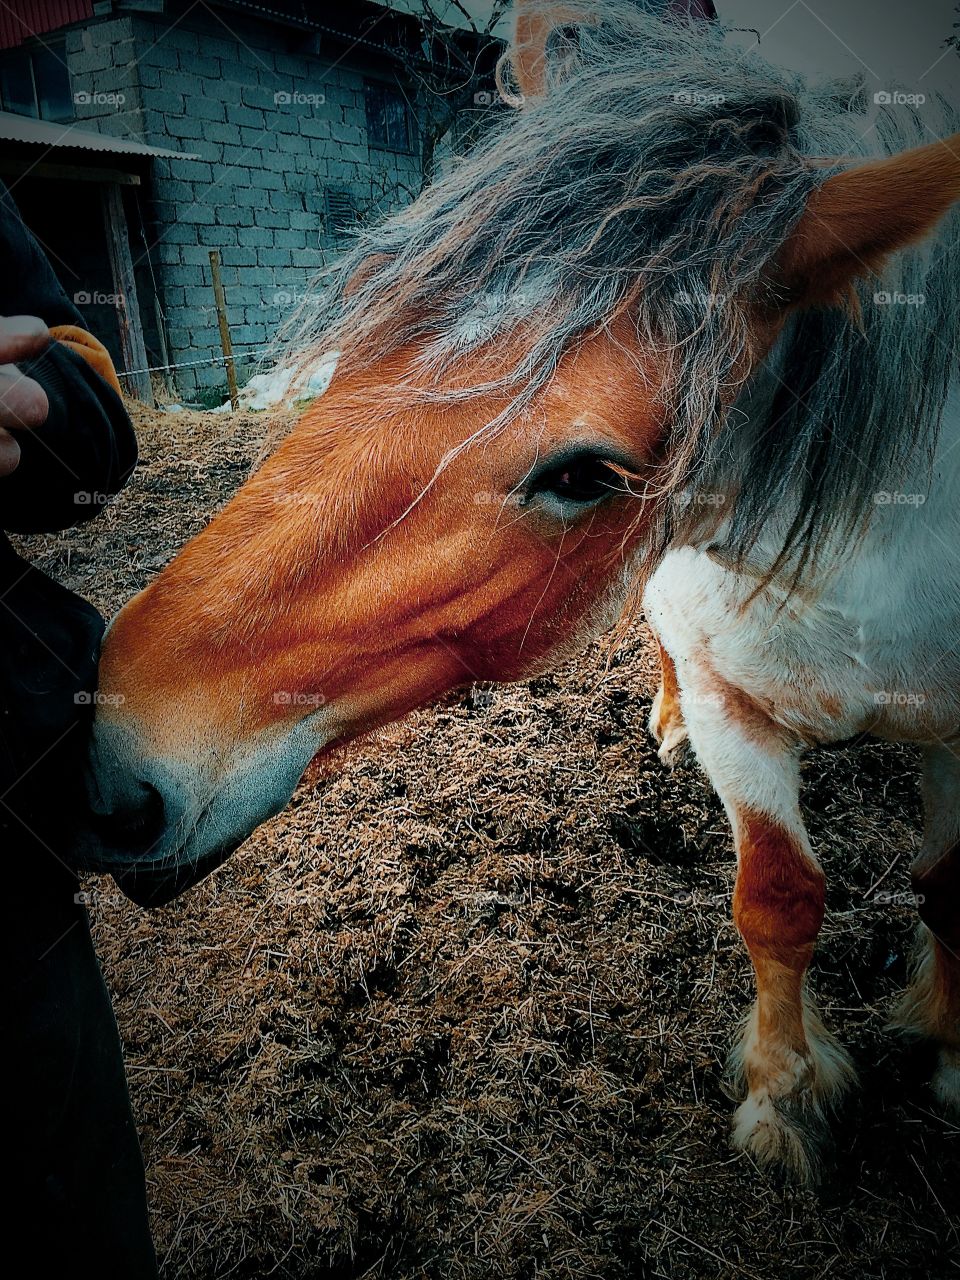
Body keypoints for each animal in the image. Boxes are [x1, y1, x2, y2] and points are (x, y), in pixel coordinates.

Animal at [80, 1, 960, 1181]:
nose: (115, 761)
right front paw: (784, 1099)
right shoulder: (735, 708)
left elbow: (945, 891)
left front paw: (941, 1055)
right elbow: (778, 902)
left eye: (587, 474)